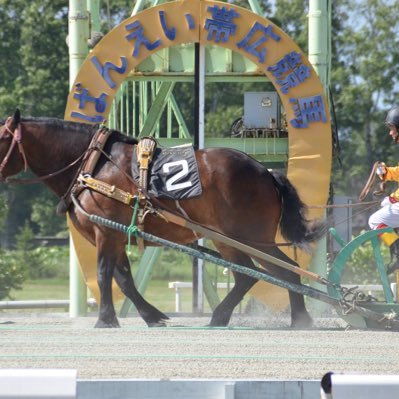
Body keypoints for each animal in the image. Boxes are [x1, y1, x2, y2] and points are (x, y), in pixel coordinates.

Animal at [0, 108, 324, 328]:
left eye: (2, 137)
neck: (95, 165)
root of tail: (266, 172)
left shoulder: (106, 232)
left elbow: (105, 274)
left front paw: (105, 318)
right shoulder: (116, 234)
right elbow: (124, 279)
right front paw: (150, 314)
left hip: (249, 237)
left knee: (280, 272)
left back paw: (292, 317)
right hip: (232, 240)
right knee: (256, 274)